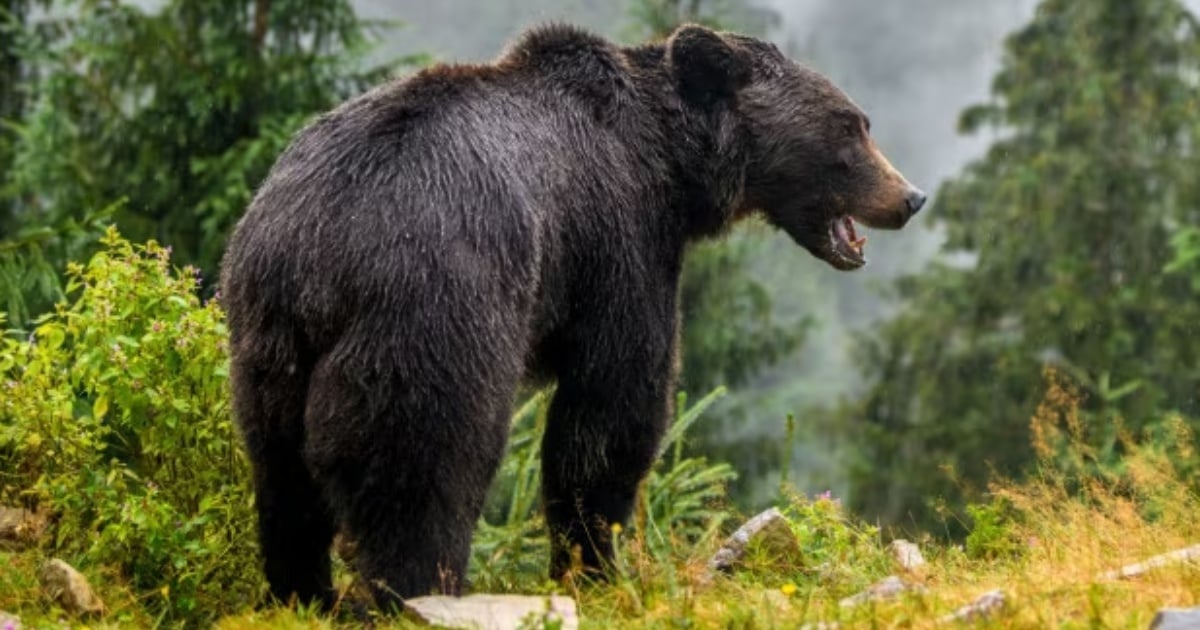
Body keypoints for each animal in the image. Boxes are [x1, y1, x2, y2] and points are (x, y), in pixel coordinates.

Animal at [218, 22, 926, 607]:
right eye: (851, 125)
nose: (911, 196)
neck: (674, 165)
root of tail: (319, 254)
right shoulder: (618, 241)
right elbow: (612, 406)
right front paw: (597, 566)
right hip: (433, 306)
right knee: (425, 463)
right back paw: (417, 591)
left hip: (266, 339)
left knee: (282, 477)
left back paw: (302, 593)